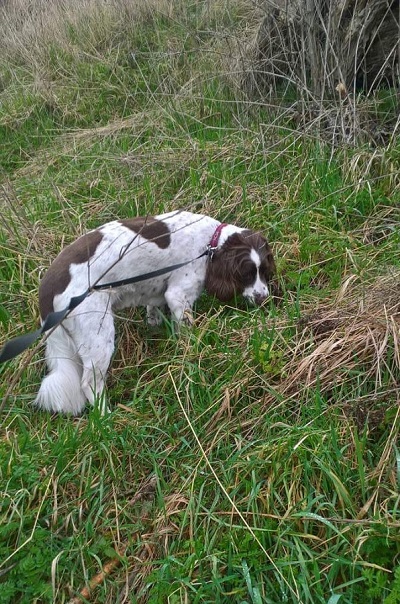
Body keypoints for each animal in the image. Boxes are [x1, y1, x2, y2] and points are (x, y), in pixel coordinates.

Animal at [35, 210, 276, 412]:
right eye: (246, 274)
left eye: (264, 272)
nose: (264, 299)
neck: (211, 243)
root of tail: (46, 292)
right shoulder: (178, 295)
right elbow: (187, 334)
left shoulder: (158, 293)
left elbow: (154, 313)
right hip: (98, 335)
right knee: (89, 384)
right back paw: (105, 416)